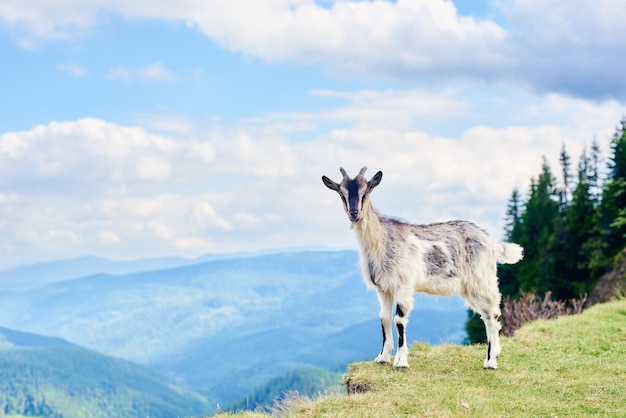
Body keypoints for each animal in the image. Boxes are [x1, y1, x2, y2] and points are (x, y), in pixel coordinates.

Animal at [322, 167, 520, 370]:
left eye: (366, 191)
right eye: (341, 193)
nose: (354, 213)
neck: (382, 240)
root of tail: (491, 242)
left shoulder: (403, 285)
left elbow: (399, 319)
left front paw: (401, 361)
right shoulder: (384, 288)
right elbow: (384, 318)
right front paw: (382, 358)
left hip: (481, 280)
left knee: (492, 313)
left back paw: (490, 361)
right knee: (488, 315)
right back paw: (495, 354)